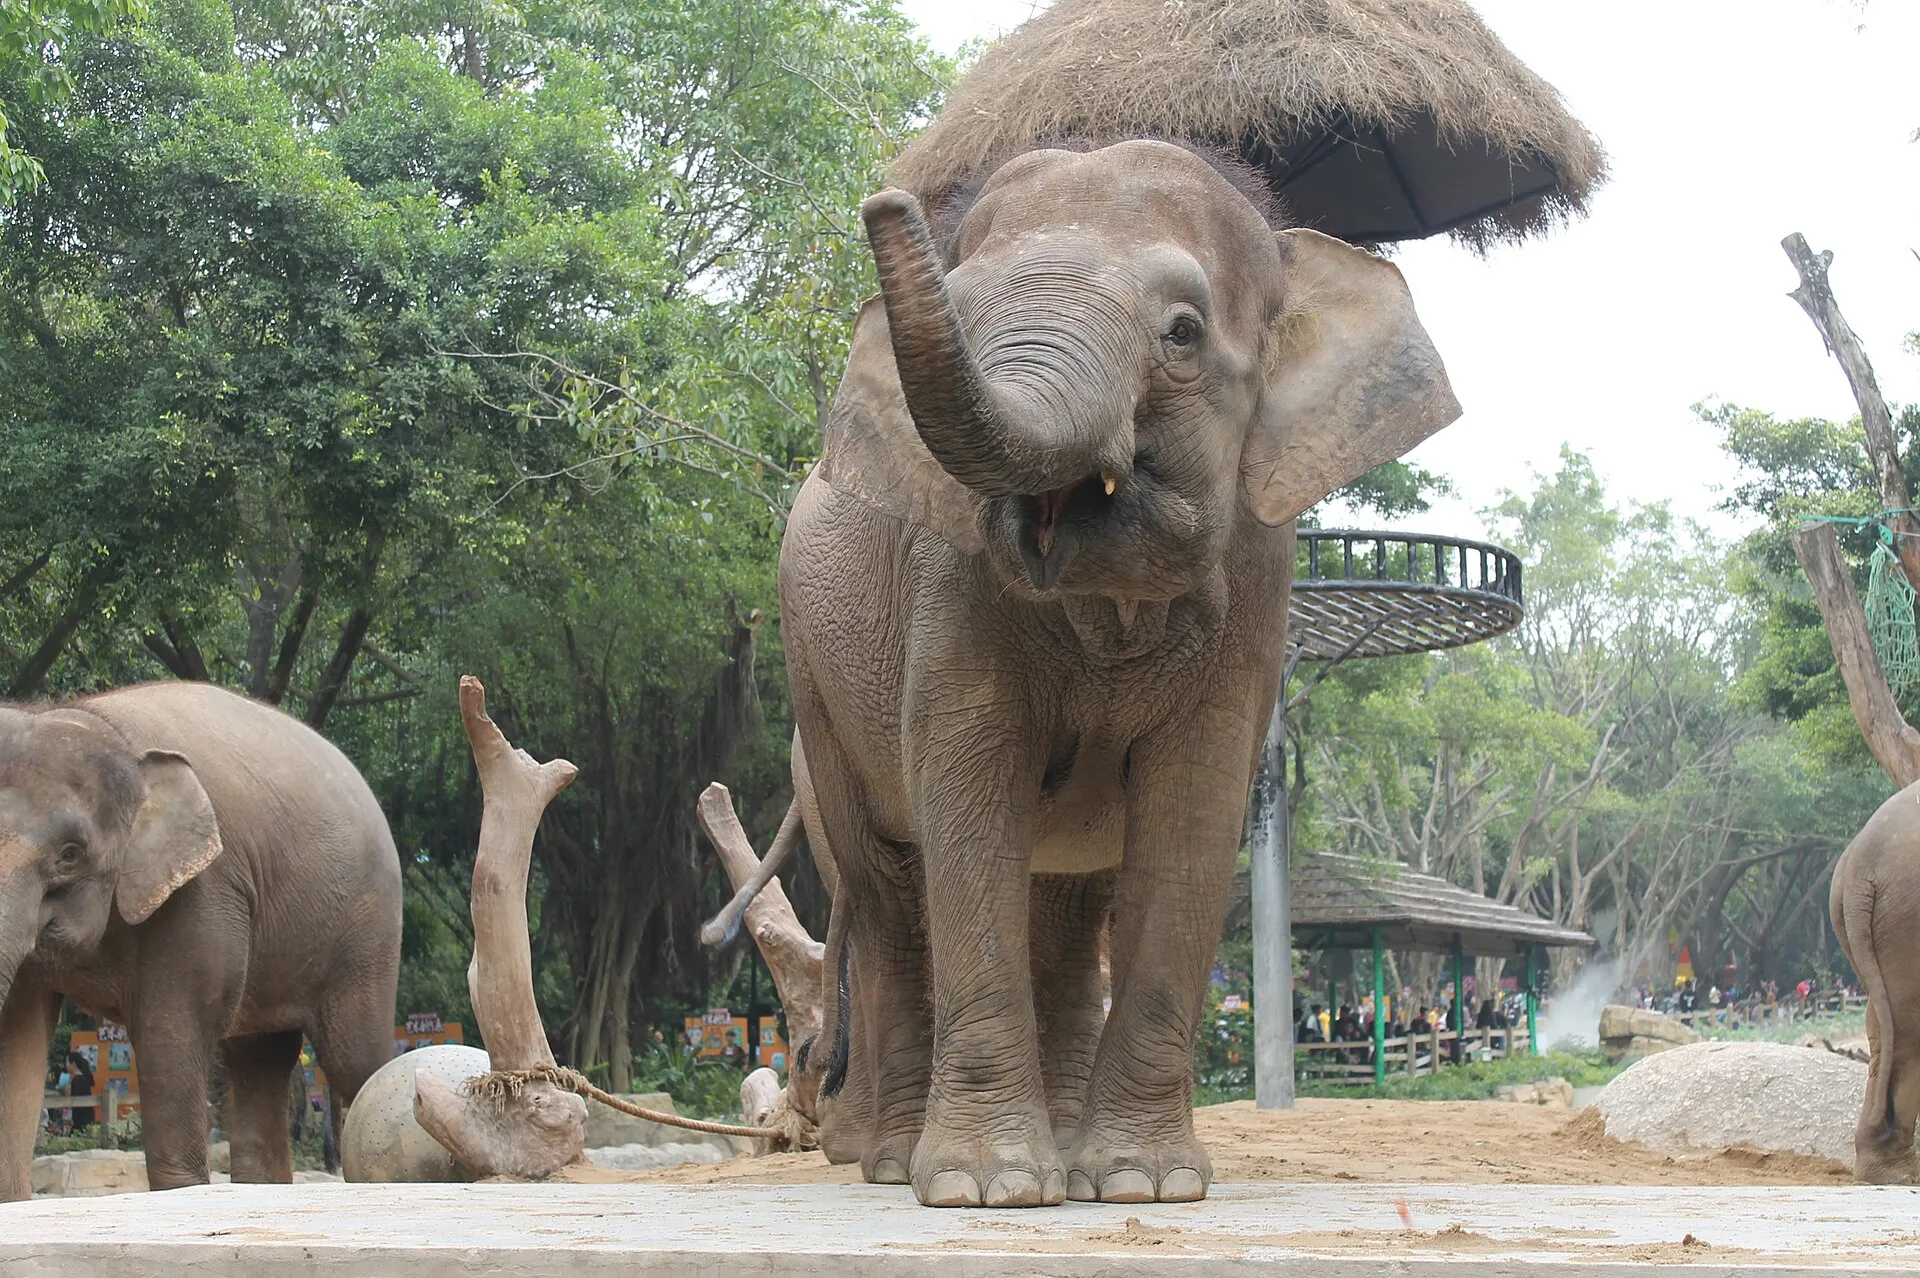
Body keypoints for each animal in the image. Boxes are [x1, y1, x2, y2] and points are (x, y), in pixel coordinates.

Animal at [0, 681, 402, 1200]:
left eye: (70, 855)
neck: (95, 720)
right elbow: (18, 1035)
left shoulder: (205, 892)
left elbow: (171, 1033)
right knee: (260, 1063)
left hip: (367, 930)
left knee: (355, 1060)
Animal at [778, 139, 1459, 1207]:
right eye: (959, 305)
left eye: (1182, 333)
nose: (885, 203)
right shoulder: (948, 577)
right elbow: (966, 793)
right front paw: (986, 1190)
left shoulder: (1258, 577)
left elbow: (1195, 808)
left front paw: (1145, 1183)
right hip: (814, 688)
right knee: (889, 889)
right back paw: (894, 1166)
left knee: (1067, 903)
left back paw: (1057, 1152)